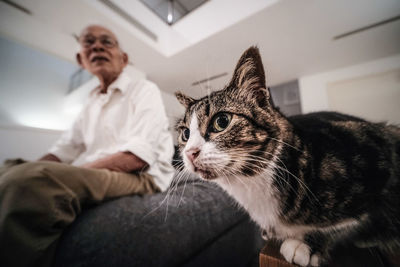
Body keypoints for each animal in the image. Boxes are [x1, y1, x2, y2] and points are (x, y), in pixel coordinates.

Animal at [174, 47, 400, 266]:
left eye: (221, 121)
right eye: (185, 134)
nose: (189, 153)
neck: (252, 187)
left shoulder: (379, 156)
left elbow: (351, 222)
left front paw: (307, 245)